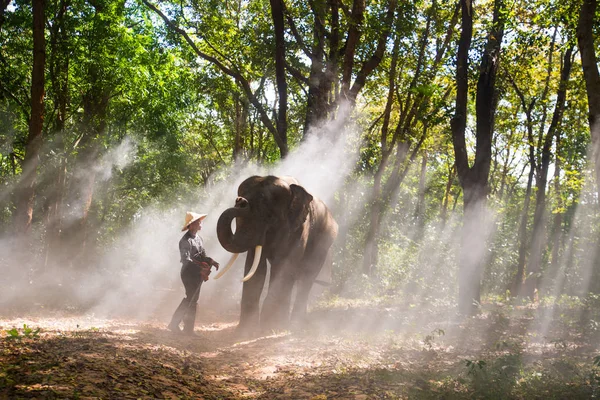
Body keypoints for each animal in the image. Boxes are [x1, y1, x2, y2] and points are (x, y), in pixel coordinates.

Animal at [216, 175, 338, 332]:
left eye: (269, 216)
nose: (240, 201)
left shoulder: (299, 229)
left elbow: (284, 265)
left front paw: (269, 328)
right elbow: (256, 267)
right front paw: (246, 330)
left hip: (323, 246)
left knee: (306, 278)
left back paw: (294, 325)